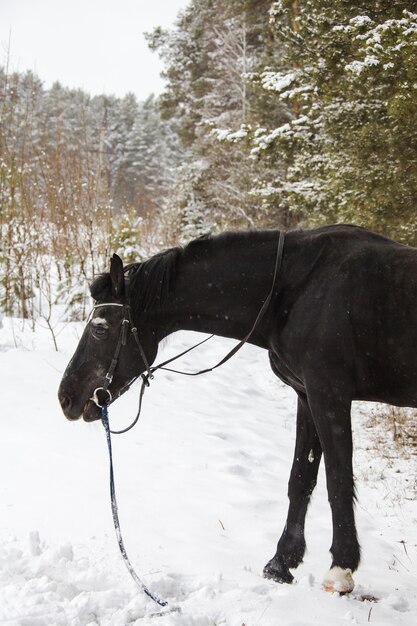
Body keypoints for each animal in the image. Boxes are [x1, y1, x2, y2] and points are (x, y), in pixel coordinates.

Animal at [57, 223, 416, 588]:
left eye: (100, 329)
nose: (65, 397)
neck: (294, 289)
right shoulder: (306, 396)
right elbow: (300, 479)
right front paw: (281, 563)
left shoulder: (328, 396)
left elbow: (338, 481)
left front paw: (341, 568)